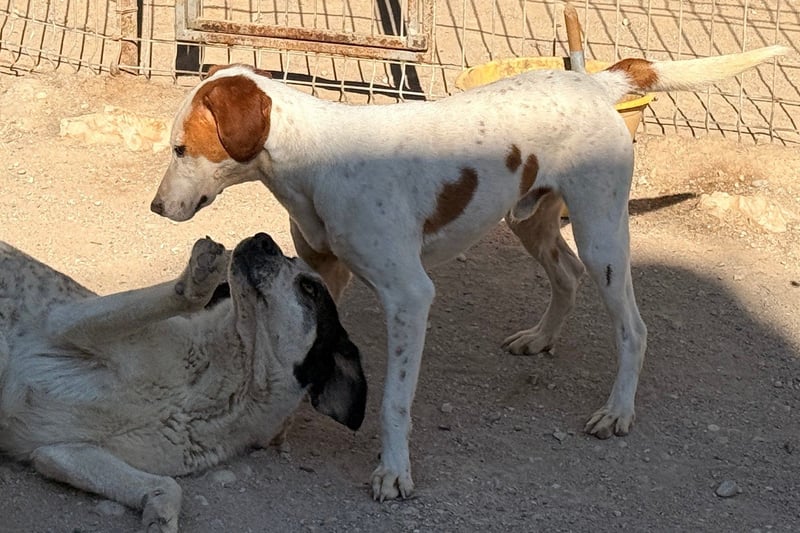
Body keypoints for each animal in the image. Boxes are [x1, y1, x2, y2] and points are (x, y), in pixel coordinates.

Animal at [0, 233, 367, 532]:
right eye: (286, 256)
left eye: (309, 287)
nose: (263, 238)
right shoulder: (65, 322)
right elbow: (182, 298)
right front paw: (199, 278)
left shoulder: (61, 451)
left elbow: (169, 487)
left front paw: (159, 519)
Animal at [149, 45, 787, 501]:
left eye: (181, 148)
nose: (155, 208)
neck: (314, 159)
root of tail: (594, 81)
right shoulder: (321, 274)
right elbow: (296, 351)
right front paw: (278, 425)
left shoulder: (409, 296)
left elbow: (394, 399)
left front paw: (394, 472)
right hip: (530, 220)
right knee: (566, 276)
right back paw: (540, 338)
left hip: (602, 231)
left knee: (633, 327)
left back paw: (618, 411)